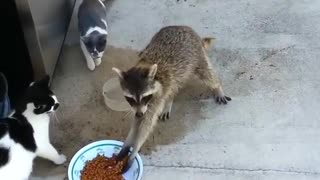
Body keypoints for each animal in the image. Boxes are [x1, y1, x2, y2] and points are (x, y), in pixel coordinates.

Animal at [112, 25, 230, 170]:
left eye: (144, 97)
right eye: (131, 98)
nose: (139, 113)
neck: (145, 66)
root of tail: (185, 28)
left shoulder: (154, 99)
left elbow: (146, 124)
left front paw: (134, 151)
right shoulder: (141, 105)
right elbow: (137, 123)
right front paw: (126, 144)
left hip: (197, 56)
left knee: (207, 74)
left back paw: (217, 87)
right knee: (174, 88)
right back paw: (169, 101)